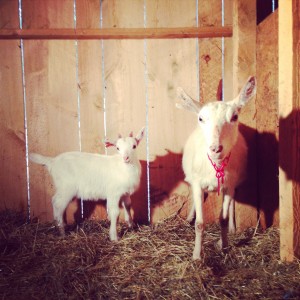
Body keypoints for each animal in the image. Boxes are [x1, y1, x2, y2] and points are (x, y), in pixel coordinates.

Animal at [177, 76, 256, 258]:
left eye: (234, 116)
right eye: (200, 118)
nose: (215, 148)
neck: (217, 166)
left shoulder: (229, 184)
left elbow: (223, 219)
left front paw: (224, 245)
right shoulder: (197, 183)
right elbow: (200, 223)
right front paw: (197, 256)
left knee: (233, 201)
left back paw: (232, 229)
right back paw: (189, 217)